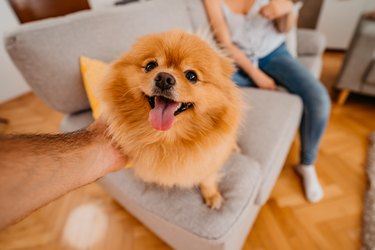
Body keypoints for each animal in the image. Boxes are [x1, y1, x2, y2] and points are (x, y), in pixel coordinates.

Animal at [102, 29, 244, 209]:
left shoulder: (210, 160)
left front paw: (212, 195)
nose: (164, 78)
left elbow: (207, 178)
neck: (167, 137)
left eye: (191, 76)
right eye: (150, 66)